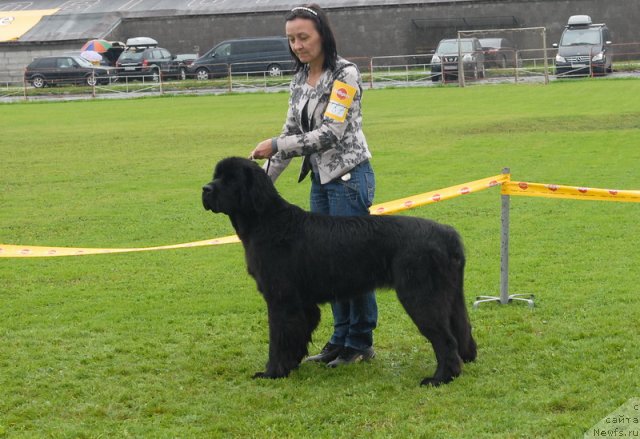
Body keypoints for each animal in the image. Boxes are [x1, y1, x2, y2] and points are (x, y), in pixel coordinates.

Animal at [202, 159, 478, 388]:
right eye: (216, 176)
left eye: (231, 179)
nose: (205, 189)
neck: (268, 222)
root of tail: (448, 234)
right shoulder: (303, 304)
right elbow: (296, 337)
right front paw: (291, 365)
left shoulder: (281, 300)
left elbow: (279, 339)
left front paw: (272, 372)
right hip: (452, 296)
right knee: (462, 328)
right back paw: (466, 359)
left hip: (421, 296)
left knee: (445, 339)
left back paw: (440, 378)